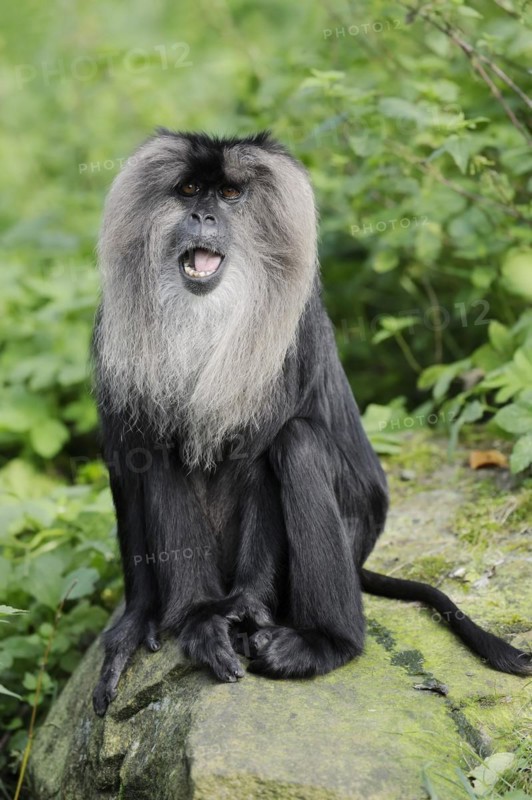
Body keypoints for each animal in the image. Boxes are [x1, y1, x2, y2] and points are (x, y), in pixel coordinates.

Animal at [91, 130, 531, 716]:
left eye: (229, 193)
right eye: (188, 190)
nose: (202, 216)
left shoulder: (290, 338)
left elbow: (262, 456)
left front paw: (248, 608)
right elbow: (130, 463)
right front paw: (135, 623)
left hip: (354, 526)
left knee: (297, 443)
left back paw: (324, 641)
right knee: (160, 450)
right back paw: (199, 618)